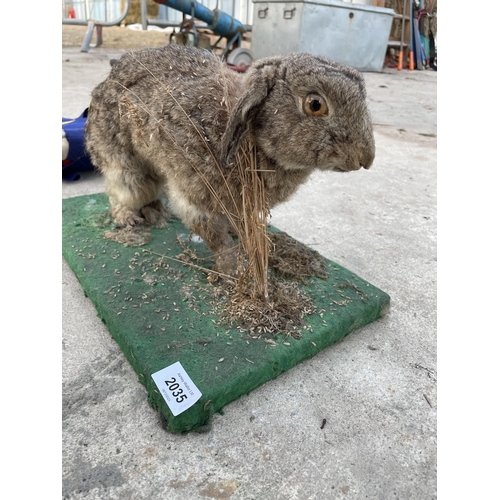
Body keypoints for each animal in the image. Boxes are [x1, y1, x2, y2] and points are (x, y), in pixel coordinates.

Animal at [85, 44, 376, 274]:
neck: (250, 138)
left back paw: (158, 212)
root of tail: (106, 81)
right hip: (123, 162)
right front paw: (232, 267)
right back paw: (130, 218)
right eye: (315, 104)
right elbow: (213, 236)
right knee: (124, 190)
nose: (366, 158)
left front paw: (244, 237)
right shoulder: (197, 198)